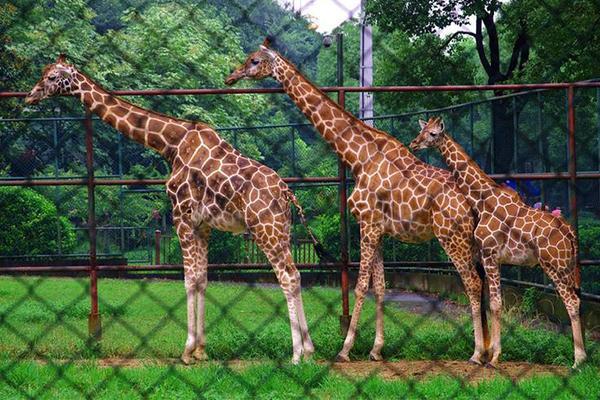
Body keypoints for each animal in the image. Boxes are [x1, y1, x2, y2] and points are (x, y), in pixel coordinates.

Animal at [25, 54, 318, 366]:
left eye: (52, 77)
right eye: (43, 72)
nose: (31, 95)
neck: (171, 144)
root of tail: (287, 193)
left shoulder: (181, 217)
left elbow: (188, 280)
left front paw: (187, 351)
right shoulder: (202, 225)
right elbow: (201, 280)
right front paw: (201, 350)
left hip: (265, 229)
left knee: (287, 277)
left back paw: (297, 354)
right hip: (282, 230)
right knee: (297, 275)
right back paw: (309, 350)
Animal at [224, 40, 488, 366]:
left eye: (254, 60)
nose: (231, 77)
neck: (359, 157)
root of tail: (473, 202)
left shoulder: (368, 223)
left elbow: (361, 285)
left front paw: (345, 349)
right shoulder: (379, 228)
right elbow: (380, 286)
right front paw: (376, 349)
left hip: (452, 236)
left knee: (473, 283)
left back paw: (477, 353)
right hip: (470, 241)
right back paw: (490, 348)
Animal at [410, 116, 588, 368]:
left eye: (433, 133)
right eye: (422, 130)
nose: (414, 144)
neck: (482, 199)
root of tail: (569, 231)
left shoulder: (490, 254)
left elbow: (495, 304)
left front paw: (493, 357)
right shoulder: (494, 258)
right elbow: (494, 302)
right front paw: (490, 354)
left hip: (555, 265)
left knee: (572, 301)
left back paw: (579, 360)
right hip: (566, 266)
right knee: (576, 300)